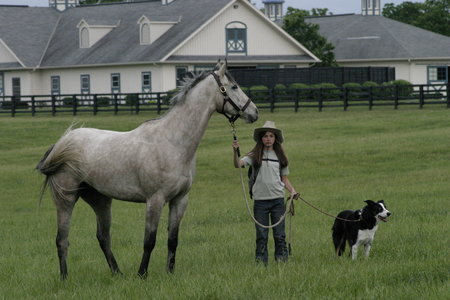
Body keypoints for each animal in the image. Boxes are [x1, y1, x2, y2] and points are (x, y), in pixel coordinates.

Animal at [37, 61, 258, 278]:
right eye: (234, 87)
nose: (254, 112)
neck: (172, 141)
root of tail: (61, 143)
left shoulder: (180, 200)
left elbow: (173, 239)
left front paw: (170, 272)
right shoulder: (155, 200)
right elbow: (149, 240)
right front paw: (142, 273)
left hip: (100, 200)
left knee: (103, 237)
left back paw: (117, 273)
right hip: (66, 200)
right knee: (62, 239)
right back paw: (65, 278)